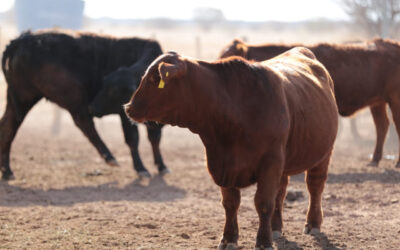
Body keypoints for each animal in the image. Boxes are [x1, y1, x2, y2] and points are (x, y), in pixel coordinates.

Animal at [0, 29, 169, 180]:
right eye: (105, 86)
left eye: (113, 91)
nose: (93, 107)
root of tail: (22, 40)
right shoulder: (124, 116)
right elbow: (133, 139)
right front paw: (141, 169)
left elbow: (155, 138)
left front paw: (162, 166)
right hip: (60, 97)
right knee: (84, 123)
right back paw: (110, 157)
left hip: (18, 99)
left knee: (8, 126)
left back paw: (7, 171)